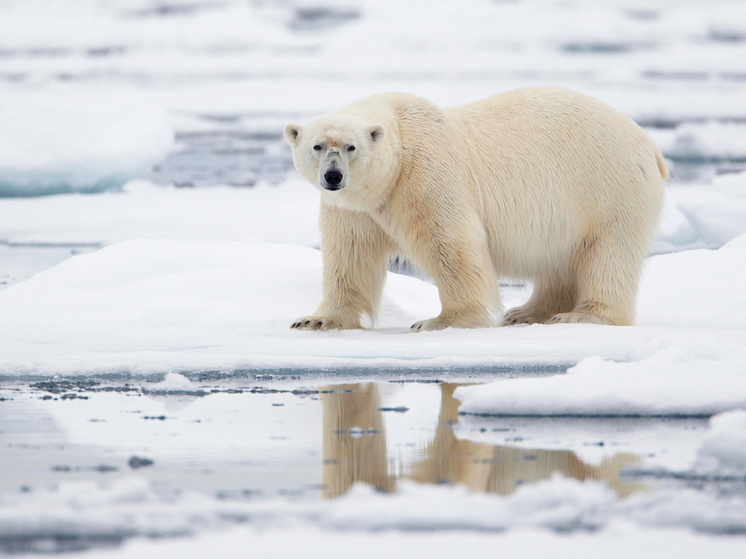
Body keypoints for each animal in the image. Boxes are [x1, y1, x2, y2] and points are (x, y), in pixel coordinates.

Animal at [284, 88, 664, 332]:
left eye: (351, 147)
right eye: (318, 146)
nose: (333, 176)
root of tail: (649, 145)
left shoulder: (425, 174)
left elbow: (450, 244)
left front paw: (441, 321)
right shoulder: (357, 208)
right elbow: (349, 255)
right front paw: (316, 320)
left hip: (607, 188)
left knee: (607, 253)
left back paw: (581, 316)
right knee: (558, 263)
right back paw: (526, 313)